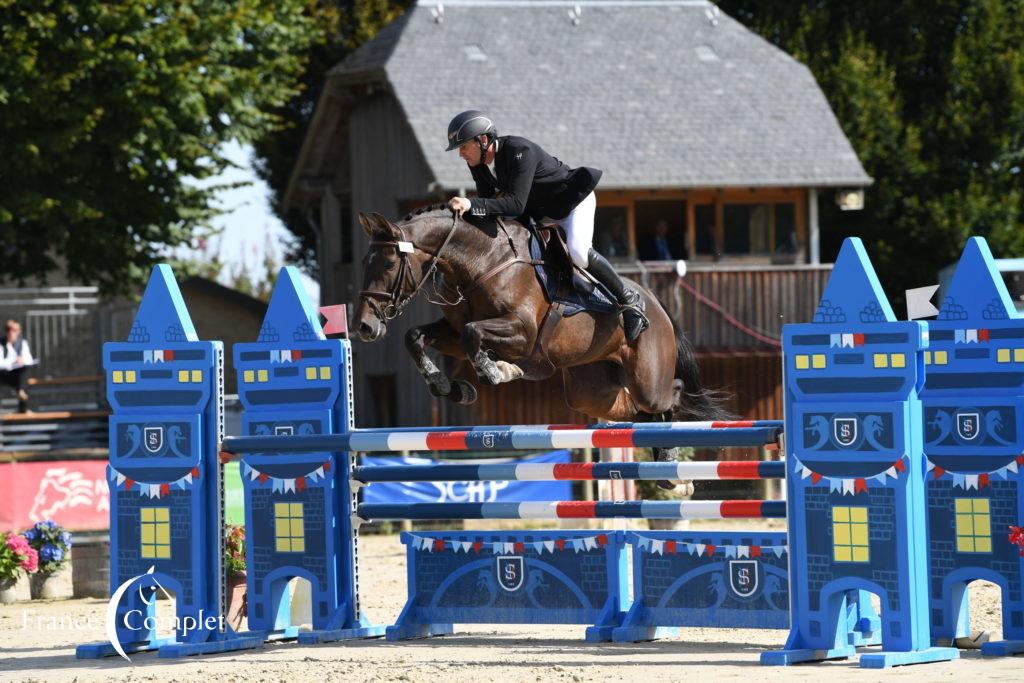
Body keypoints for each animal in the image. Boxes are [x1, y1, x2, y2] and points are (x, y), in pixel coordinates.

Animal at [352, 205, 729, 489]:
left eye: (389, 263)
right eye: (364, 263)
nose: (363, 326)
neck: (482, 261)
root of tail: (659, 307)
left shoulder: (523, 333)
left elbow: (474, 335)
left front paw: (497, 371)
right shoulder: (453, 333)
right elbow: (416, 336)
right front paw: (448, 385)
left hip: (648, 379)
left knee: (670, 395)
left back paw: (674, 468)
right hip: (590, 391)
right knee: (638, 413)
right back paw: (665, 467)